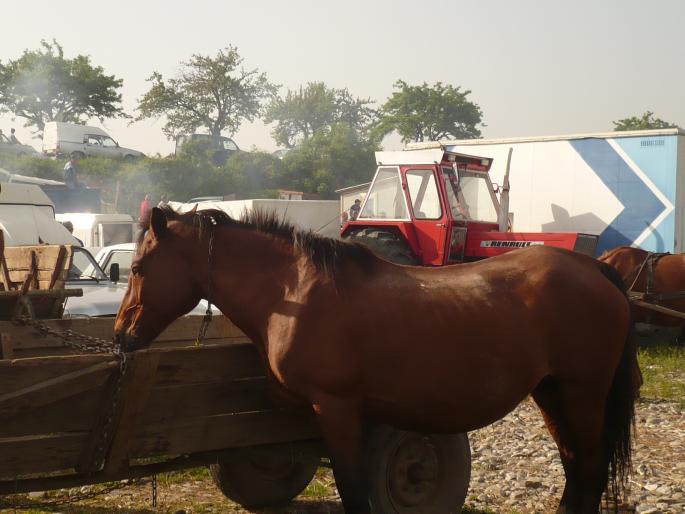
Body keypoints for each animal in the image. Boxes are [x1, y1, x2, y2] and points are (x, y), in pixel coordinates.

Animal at [115, 206, 640, 510]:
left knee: (590, 471)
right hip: (552, 394)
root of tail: (595, 269)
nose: (122, 334)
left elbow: (353, 488)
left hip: (582, 394)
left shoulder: (337, 407)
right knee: (575, 470)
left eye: (137, 267)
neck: (296, 291)